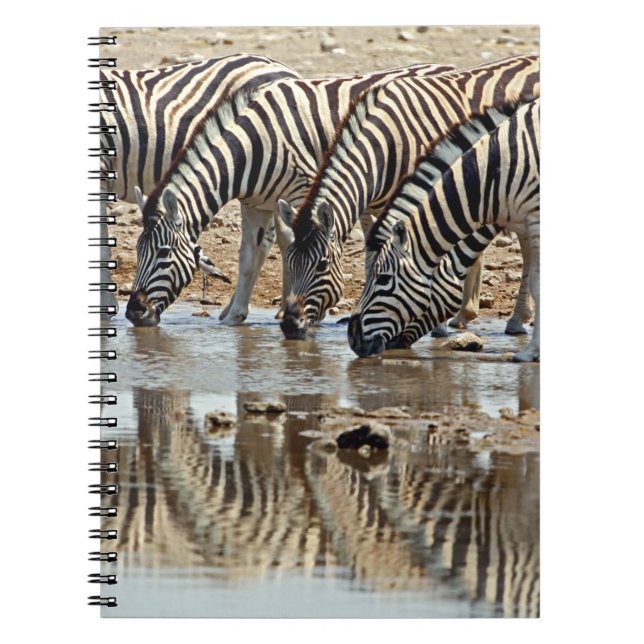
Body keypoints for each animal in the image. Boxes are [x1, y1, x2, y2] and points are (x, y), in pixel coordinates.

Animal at [122, 61, 458, 327]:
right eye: (138, 251)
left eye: (164, 253)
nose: (133, 313)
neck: (250, 148)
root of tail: (446, 67)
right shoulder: (255, 204)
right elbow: (248, 257)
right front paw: (236, 317)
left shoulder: (304, 193)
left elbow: (294, 248)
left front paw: (294, 310)